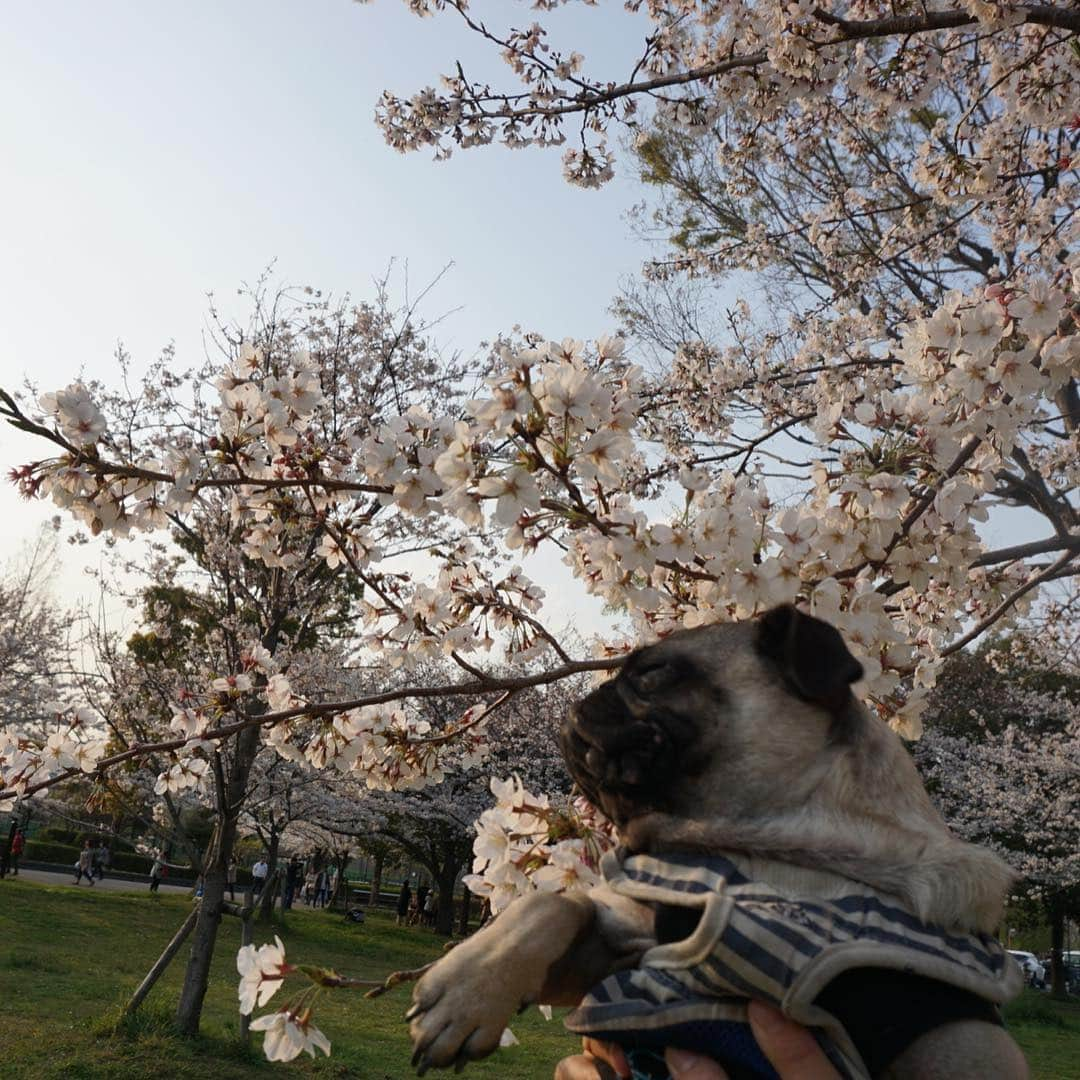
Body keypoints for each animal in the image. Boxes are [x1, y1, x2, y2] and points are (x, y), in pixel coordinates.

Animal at [406, 609, 1028, 1080]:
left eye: (654, 673)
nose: (588, 696)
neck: (769, 859)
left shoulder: (954, 1038)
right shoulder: (615, 959)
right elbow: (555, 903)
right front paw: (467, 992)